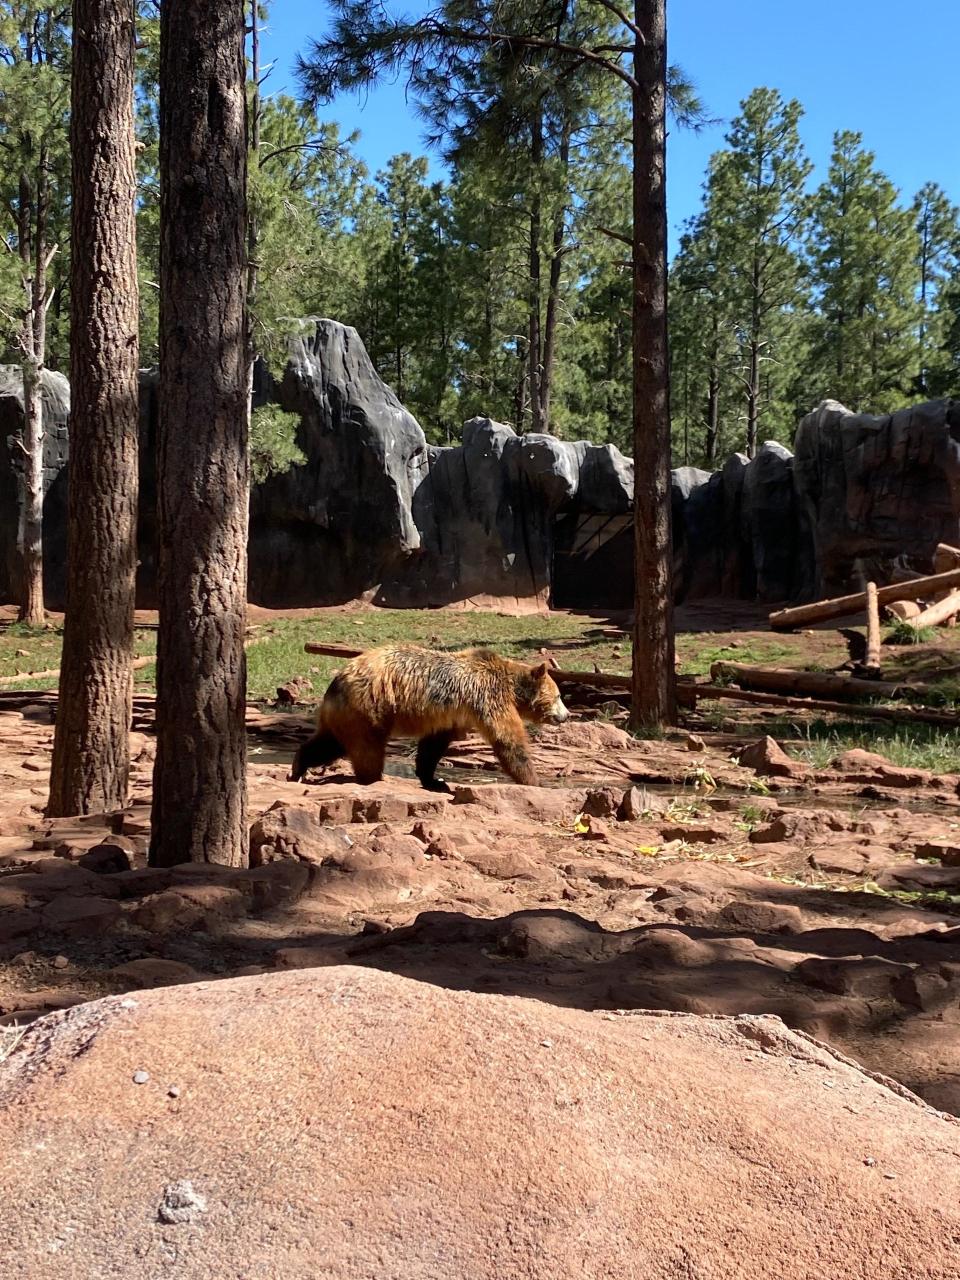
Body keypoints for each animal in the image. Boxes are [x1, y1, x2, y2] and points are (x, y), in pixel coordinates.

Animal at [285, 650, 570, 788]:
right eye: (558, 696)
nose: (566, 716)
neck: (511, 688)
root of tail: (337, 681)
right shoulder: (488, 697)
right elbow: (508, 740)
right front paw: (535, 781)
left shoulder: (450, 715)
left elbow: (432, 746)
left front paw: (433, 779)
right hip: (369, 707)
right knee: (367, 748)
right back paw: (373, 777)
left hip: (347, 713)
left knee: (329, 742)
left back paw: (299, 766)